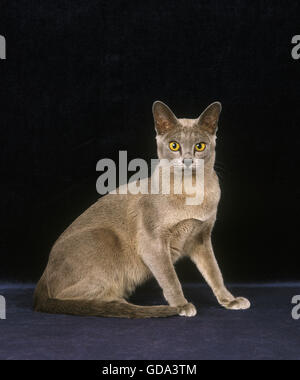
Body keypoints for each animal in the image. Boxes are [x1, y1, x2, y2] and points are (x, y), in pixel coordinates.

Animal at [34, 100, 251, 318]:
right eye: (174, 145)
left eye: (200, 146)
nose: (188, 160)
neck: (191, 192)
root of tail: (42, 278)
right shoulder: (153, 243)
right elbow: (170, 278)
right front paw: (181, 305)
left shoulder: (201, 238)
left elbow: (215, 272)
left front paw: (230, 300)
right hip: (103, 236)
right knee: (69, 297)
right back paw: (121, 304)